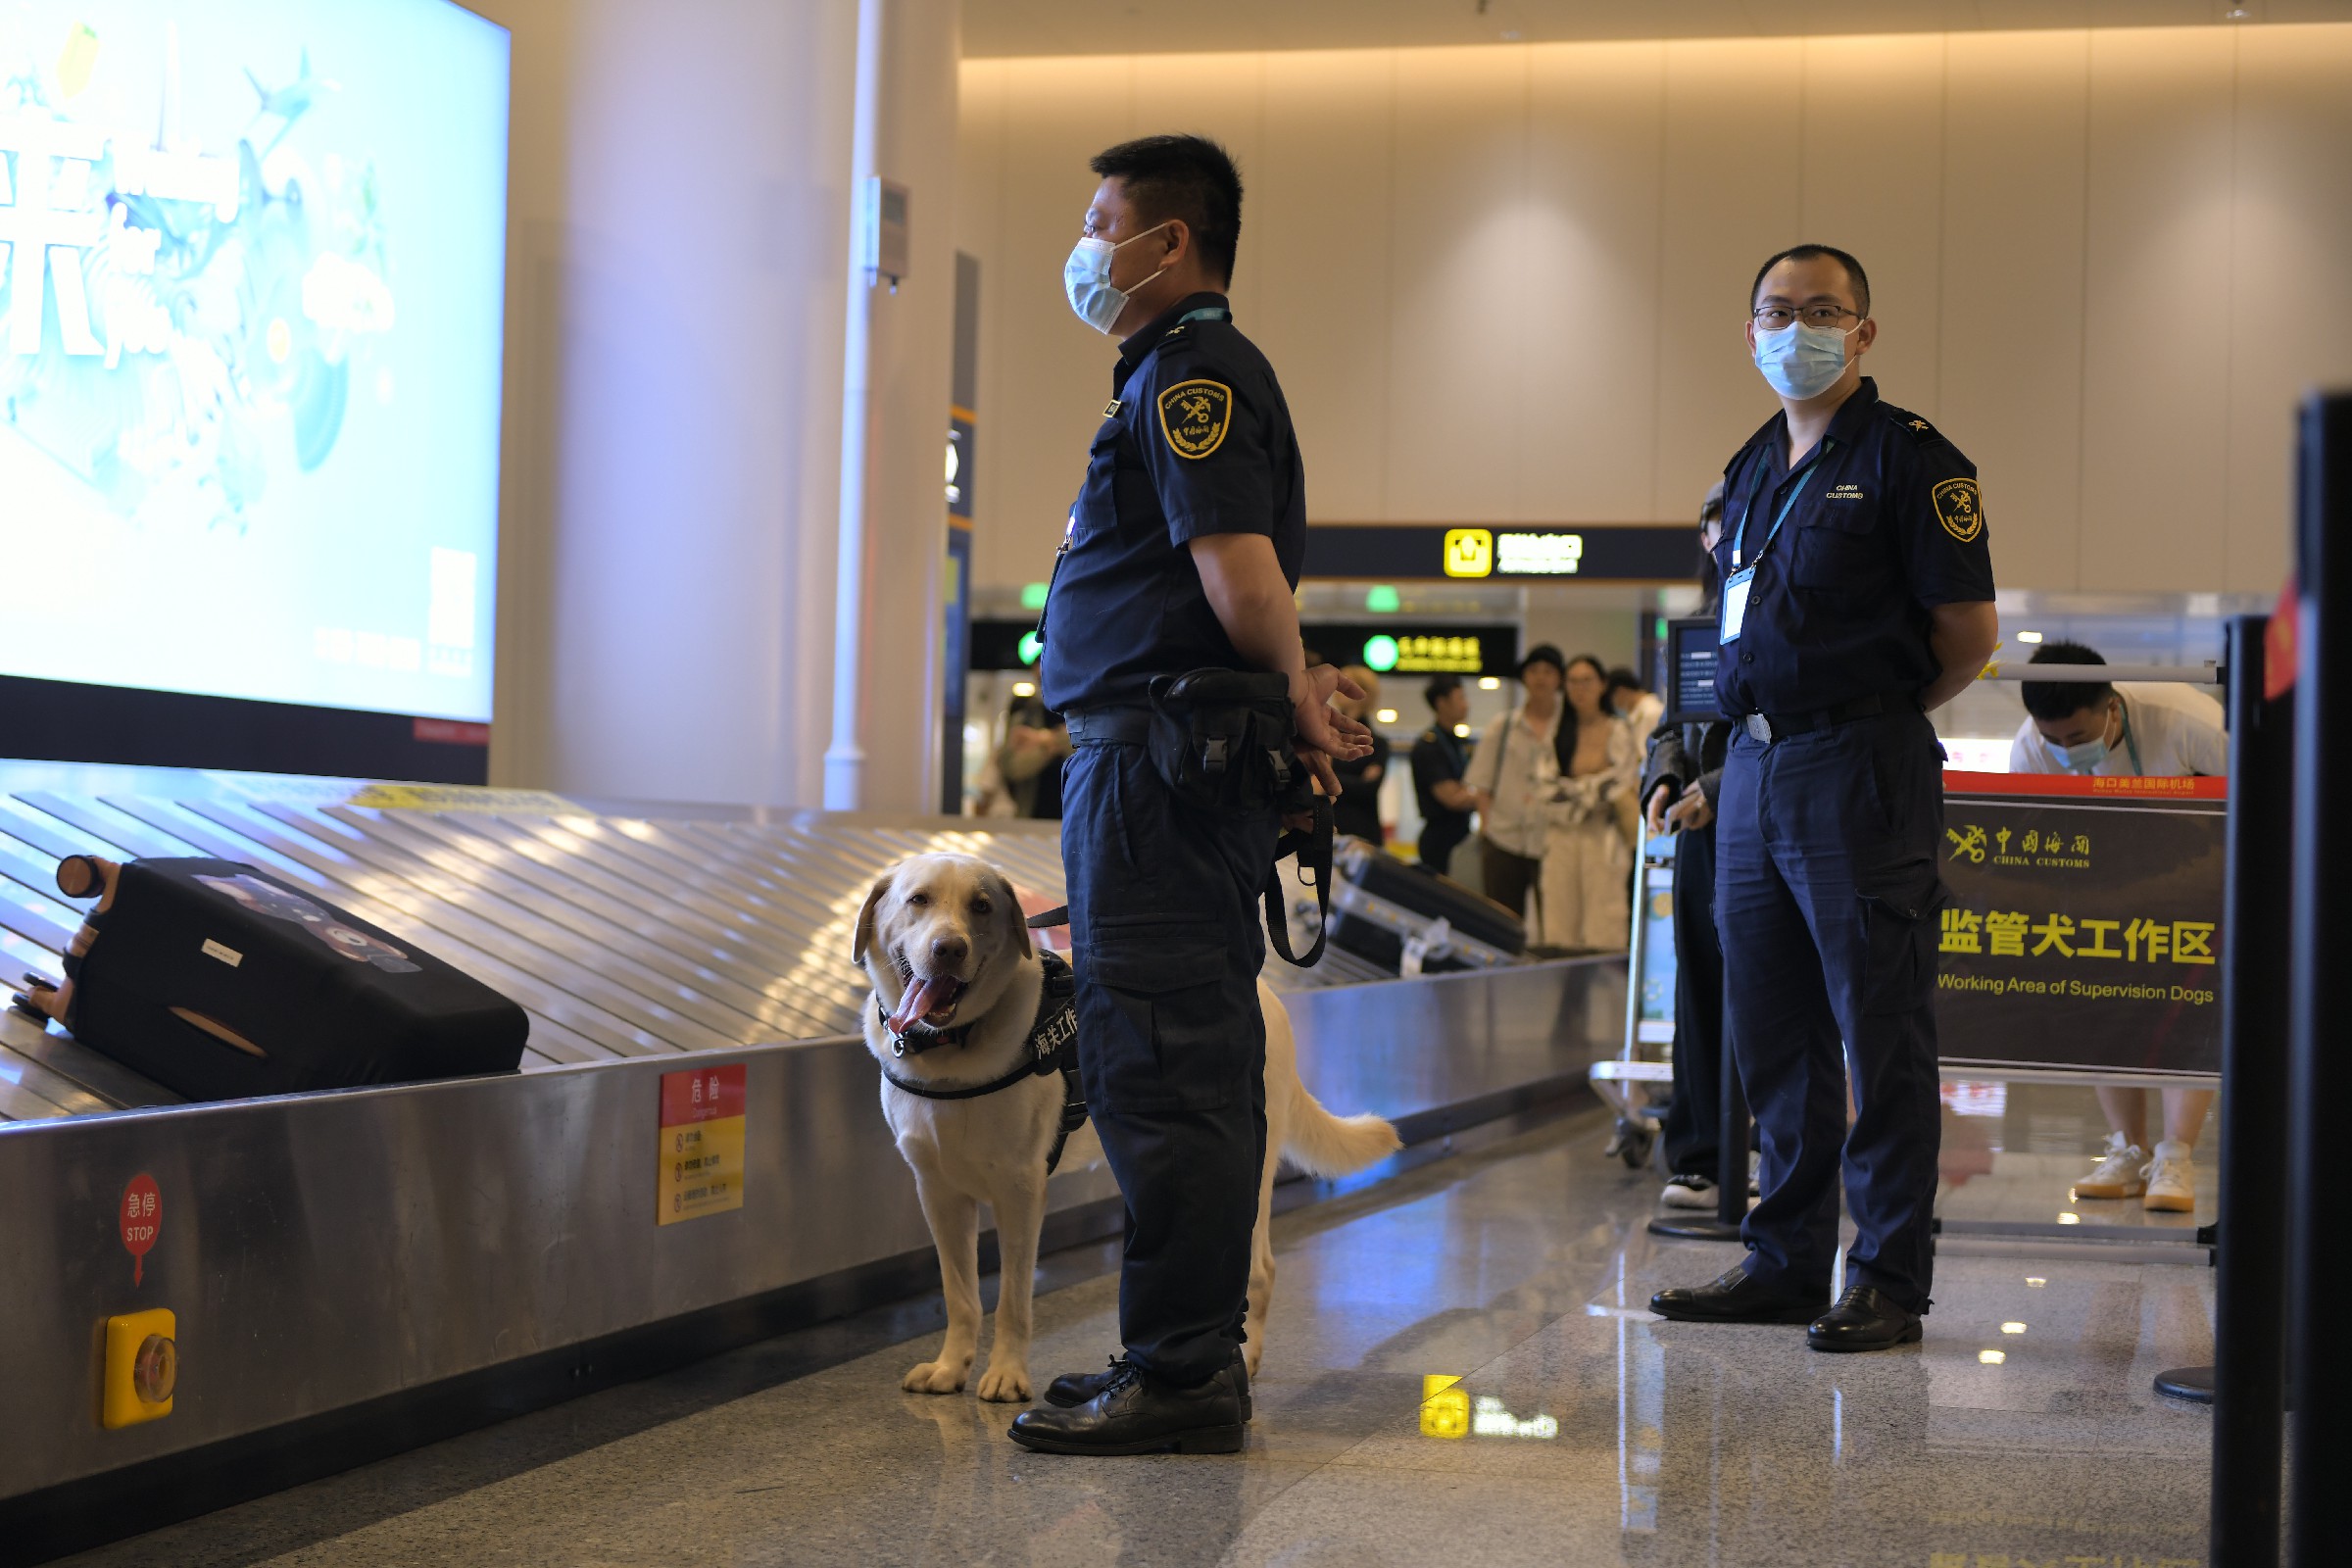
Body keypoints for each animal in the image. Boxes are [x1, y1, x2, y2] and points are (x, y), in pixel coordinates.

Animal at [856, 851, 1392, 1400]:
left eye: (981, 906)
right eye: (918, 899)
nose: (948, 949)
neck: (951, 1049)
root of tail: (1268, 995)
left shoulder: (1020, 1192)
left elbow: (1013, 1300)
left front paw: (1006, 1373)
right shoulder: (939, 1194)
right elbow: (960, 1294)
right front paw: (950, 1367)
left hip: (1250, 1171)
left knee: (1260, 1269)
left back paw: (1248, 1356)